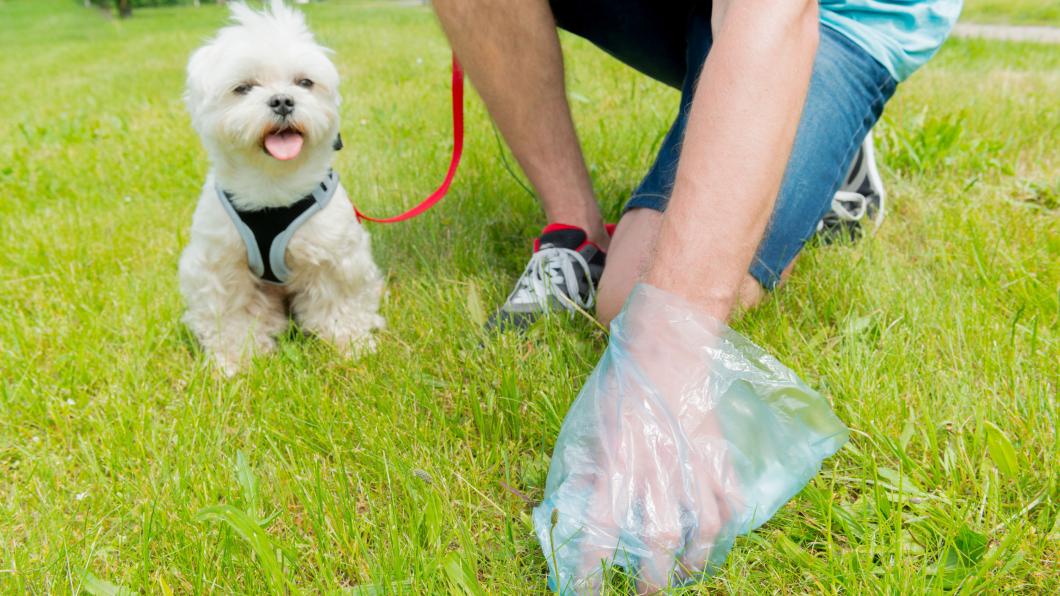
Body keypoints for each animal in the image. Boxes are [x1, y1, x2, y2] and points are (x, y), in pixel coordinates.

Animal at [180, 1, 383, 371]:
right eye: (243, 88)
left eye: (304, 82)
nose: (283, 101)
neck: (272, 186)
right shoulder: (219, 265)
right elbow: (230, 315)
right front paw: (235, 360)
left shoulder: (335, 254)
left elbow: (340, 303)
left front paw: (351, 344)